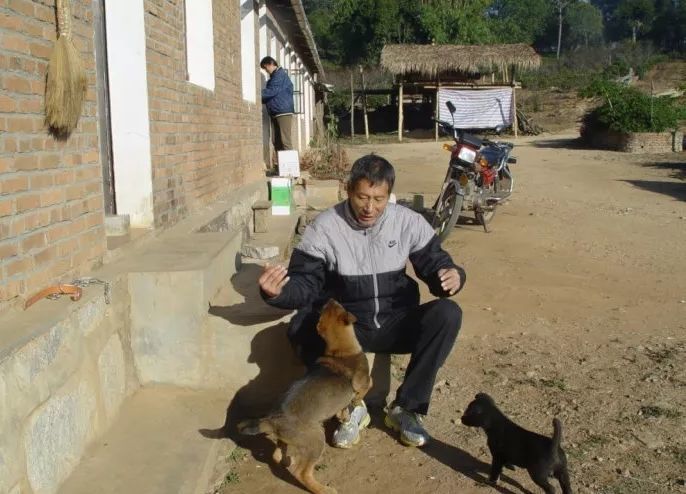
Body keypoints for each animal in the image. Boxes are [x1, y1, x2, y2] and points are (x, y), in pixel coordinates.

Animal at [239, 300, 374, 492]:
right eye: (338, 305)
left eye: (328, 308)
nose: (330, 299)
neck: (339, 351)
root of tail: (271, 420)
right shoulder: (363, 381)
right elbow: (368, 386)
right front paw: (355, 402)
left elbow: (342, 408)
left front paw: (344, 415)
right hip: (316, 440)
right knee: (301, 473)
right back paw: (322, 489)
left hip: (289, 439)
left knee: (276, 453)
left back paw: (286, 460)